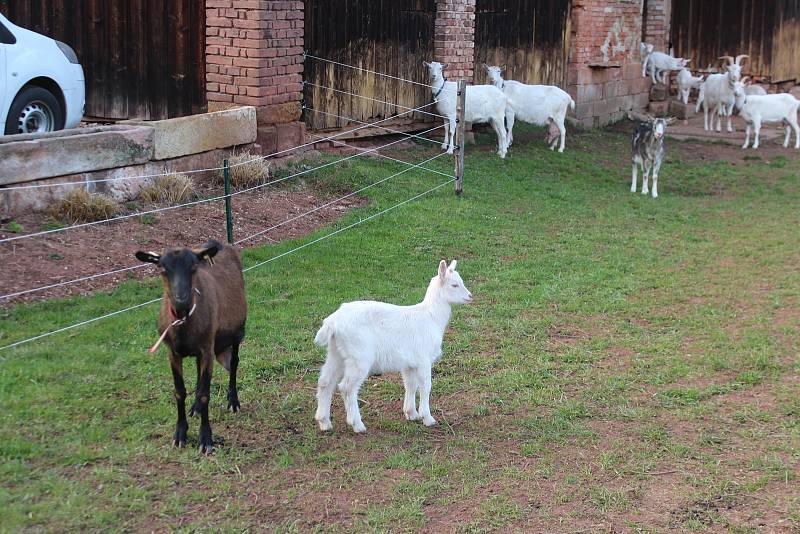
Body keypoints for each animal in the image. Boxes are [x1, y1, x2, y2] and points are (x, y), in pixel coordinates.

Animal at [136, 241, 245, 454]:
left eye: (193, 266)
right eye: (162, 268)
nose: (181, 299)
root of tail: (223, 244)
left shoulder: (208, 349)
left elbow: (204, 394)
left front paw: (206, 439)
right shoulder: (173, 353)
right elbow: (180, 391)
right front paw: (180, 435)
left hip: (237, 332)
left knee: (234, 364)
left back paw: (233, 401)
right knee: (197, 370)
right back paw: (195, 408)